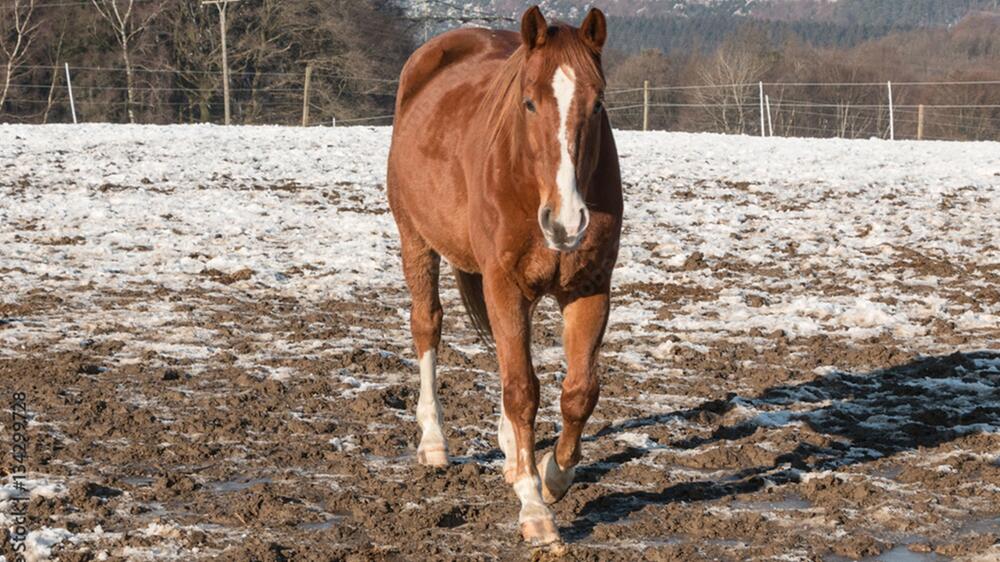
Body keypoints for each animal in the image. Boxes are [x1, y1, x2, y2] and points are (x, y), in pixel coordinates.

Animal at [386, 5, 620, 548]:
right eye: (529, 103)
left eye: (597, 103)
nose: (565, 221)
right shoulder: (504, 286)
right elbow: (522, 391)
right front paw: (535, 509)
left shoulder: (590, 290)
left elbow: (579, 392)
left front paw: (552, 475)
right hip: (415, 239)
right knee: (427, 325)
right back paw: (434, 442)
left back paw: (512, 450)